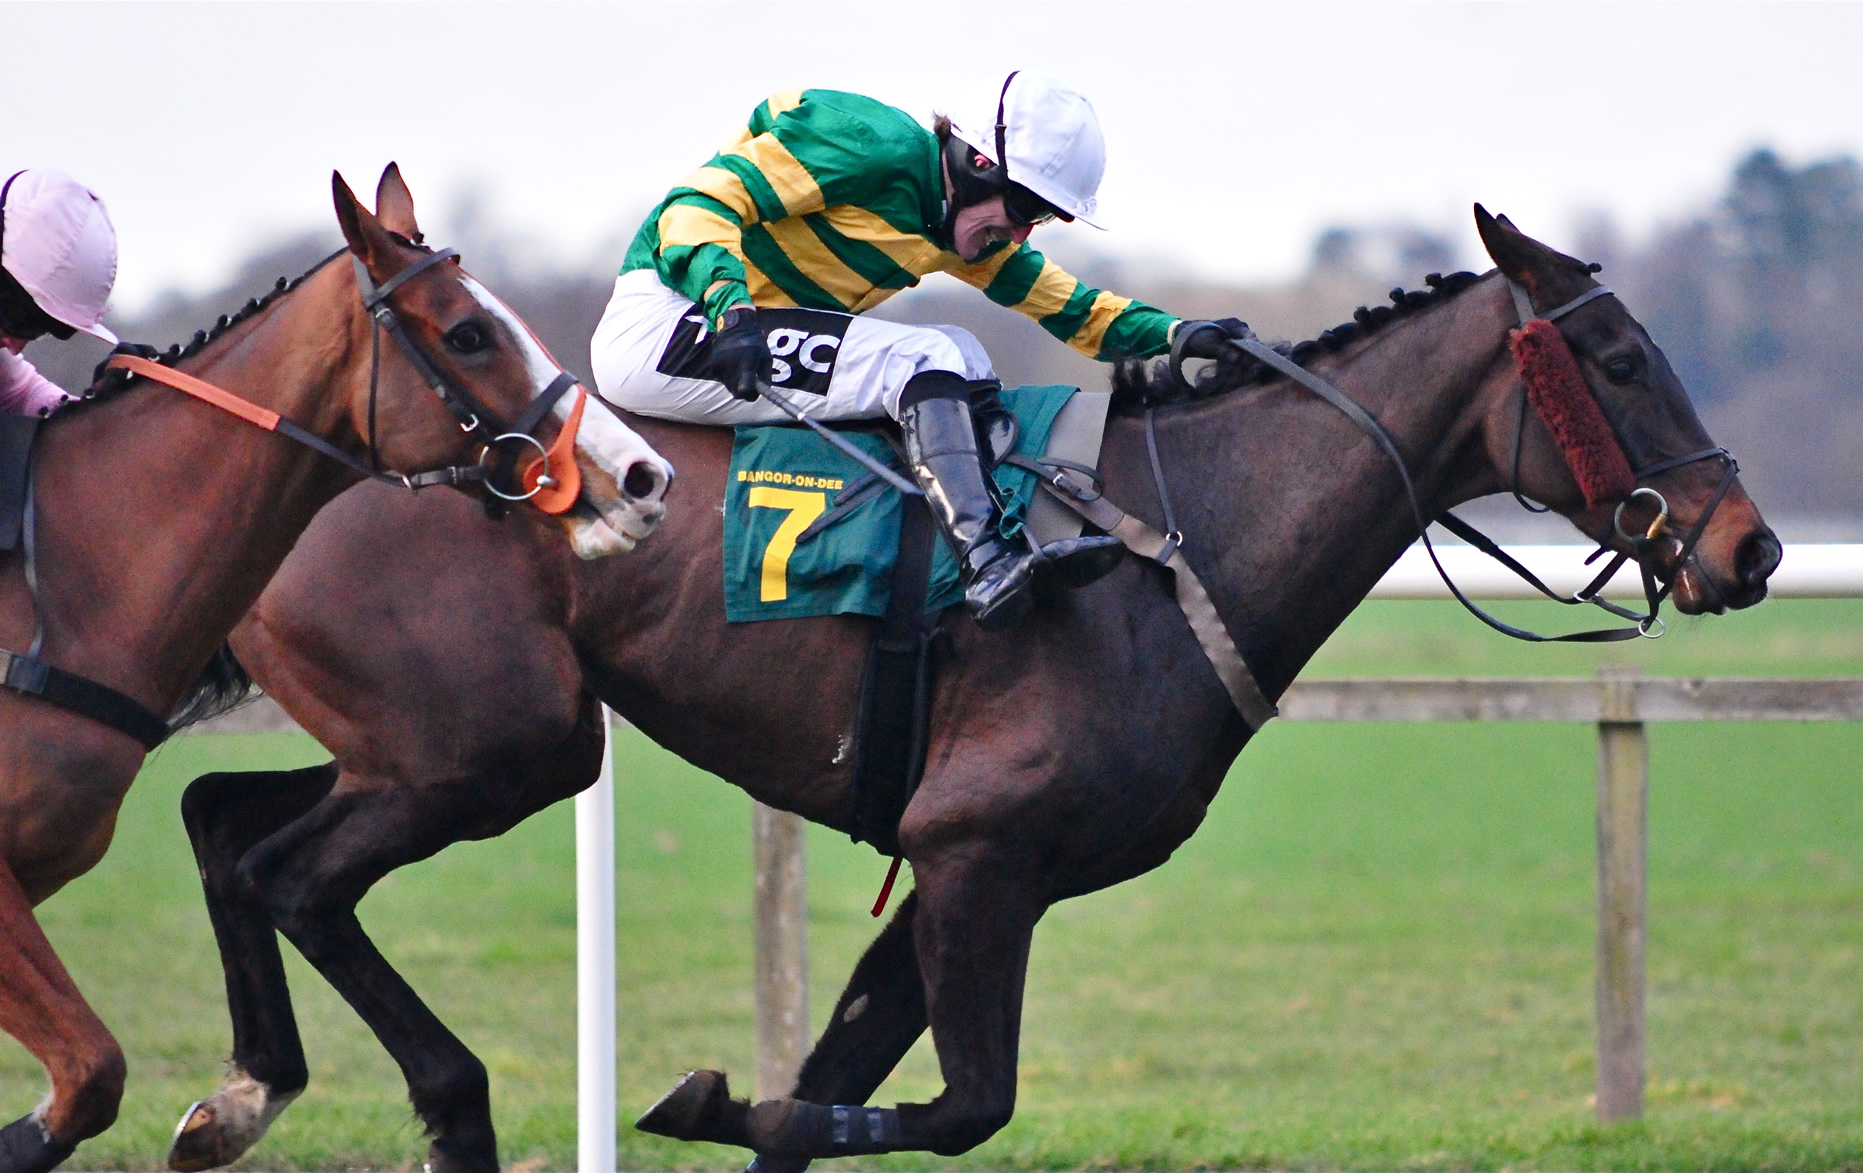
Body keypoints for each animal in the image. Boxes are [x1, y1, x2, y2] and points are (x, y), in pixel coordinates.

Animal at [171, 209, 1773, 1173]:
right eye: (1617, 356)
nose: (1746, 547)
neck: (1163, 544)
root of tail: (322, 447)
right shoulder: (979, 855)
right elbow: (956, 1104)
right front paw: (708, 1094)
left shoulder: (962, 869)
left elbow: (842, 1087)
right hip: (492, 748)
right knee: (293, 873)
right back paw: (428, 1102)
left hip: (436, 743)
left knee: (219, 821)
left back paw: (237, 1091)